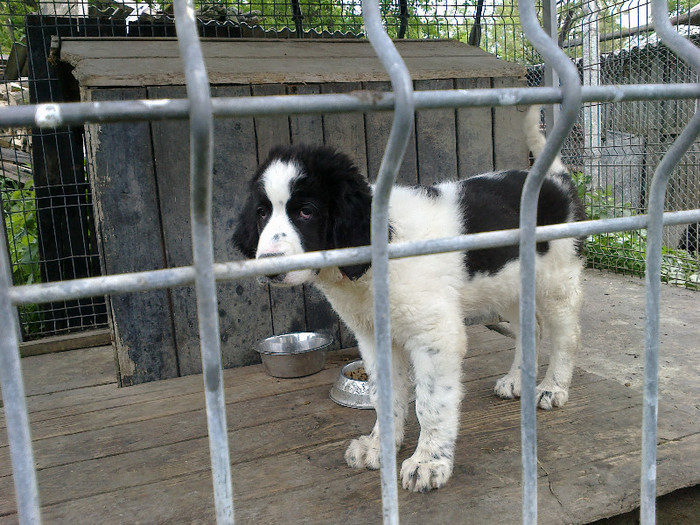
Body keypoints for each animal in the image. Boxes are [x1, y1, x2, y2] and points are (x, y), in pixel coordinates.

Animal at [234, 106, 584, 492]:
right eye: (262, 213)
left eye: (306, 211)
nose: (268, 265)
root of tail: (556, 181)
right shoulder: (374, 337)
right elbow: (385, 396)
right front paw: (379, 446)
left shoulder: (436, 337)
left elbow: (430, 403)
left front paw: (429, 462)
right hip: (507, 282)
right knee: (529, 326)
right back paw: (517, 379)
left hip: (556, 280)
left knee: (566, 334)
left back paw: (552, 388)